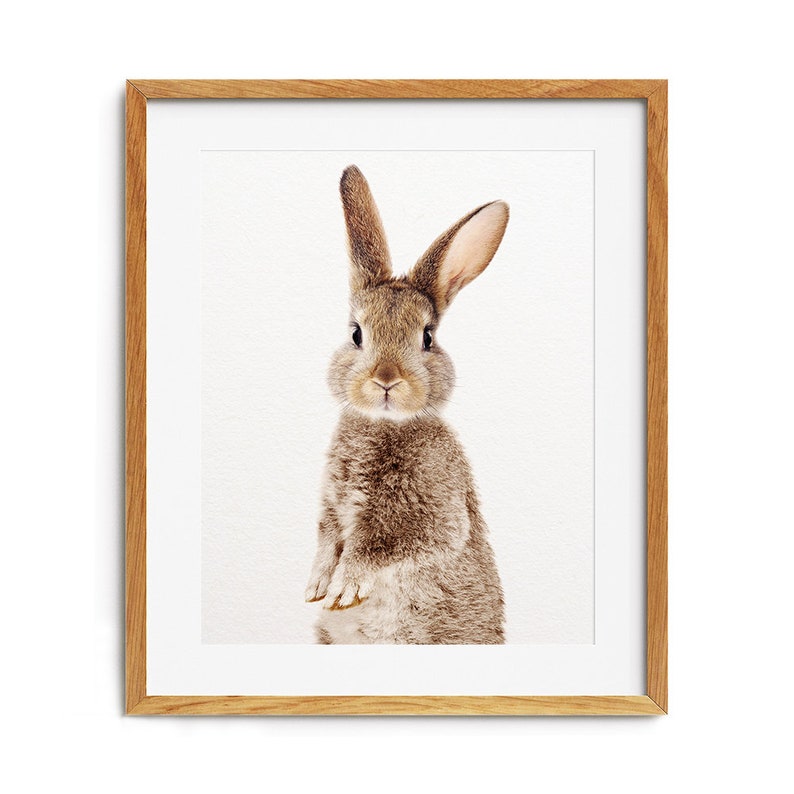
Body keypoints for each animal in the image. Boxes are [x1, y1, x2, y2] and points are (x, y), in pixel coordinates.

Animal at [305, 165, 508, 644]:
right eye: (356, 333)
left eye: (427, 338)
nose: (386, 379)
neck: (382, 424)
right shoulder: (330, 508)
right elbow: (327, 539)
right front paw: (317, 584)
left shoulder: (428, 515)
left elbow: (377, 547)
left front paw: (343, 588)